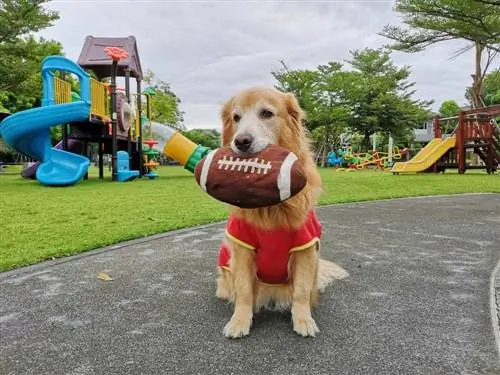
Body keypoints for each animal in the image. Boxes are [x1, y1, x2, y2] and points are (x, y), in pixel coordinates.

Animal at [215, 86, 348, 340]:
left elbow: (301, 292)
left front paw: (303, 320)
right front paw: (239, 321)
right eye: (236, 118)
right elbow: (244, 290)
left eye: (266, 113)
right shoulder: (243, 247)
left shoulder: (305, 248)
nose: (241, 141)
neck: (270, 205)